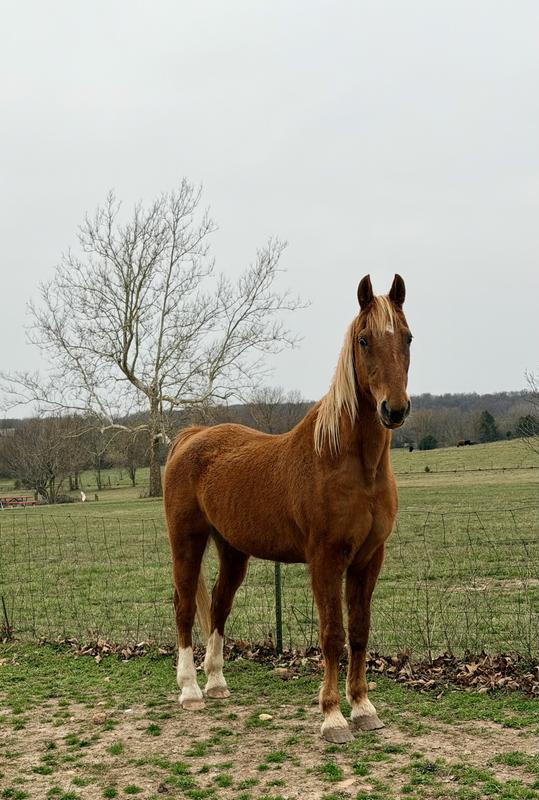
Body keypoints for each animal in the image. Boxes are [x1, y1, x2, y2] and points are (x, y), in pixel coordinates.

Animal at [164, 274, 412, 743]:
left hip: (233, 550)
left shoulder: (369, 558)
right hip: (187, 541)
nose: (394, 408)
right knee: (185, 607)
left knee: (219, 606)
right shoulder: (326, 560)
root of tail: (192, 436)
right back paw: (189, 690)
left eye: (407, 337)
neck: (349, 461)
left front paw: (363, 708)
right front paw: (333, 717)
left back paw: (217, 682)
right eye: (364, 339)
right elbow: (332, 634)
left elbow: (360, 631)